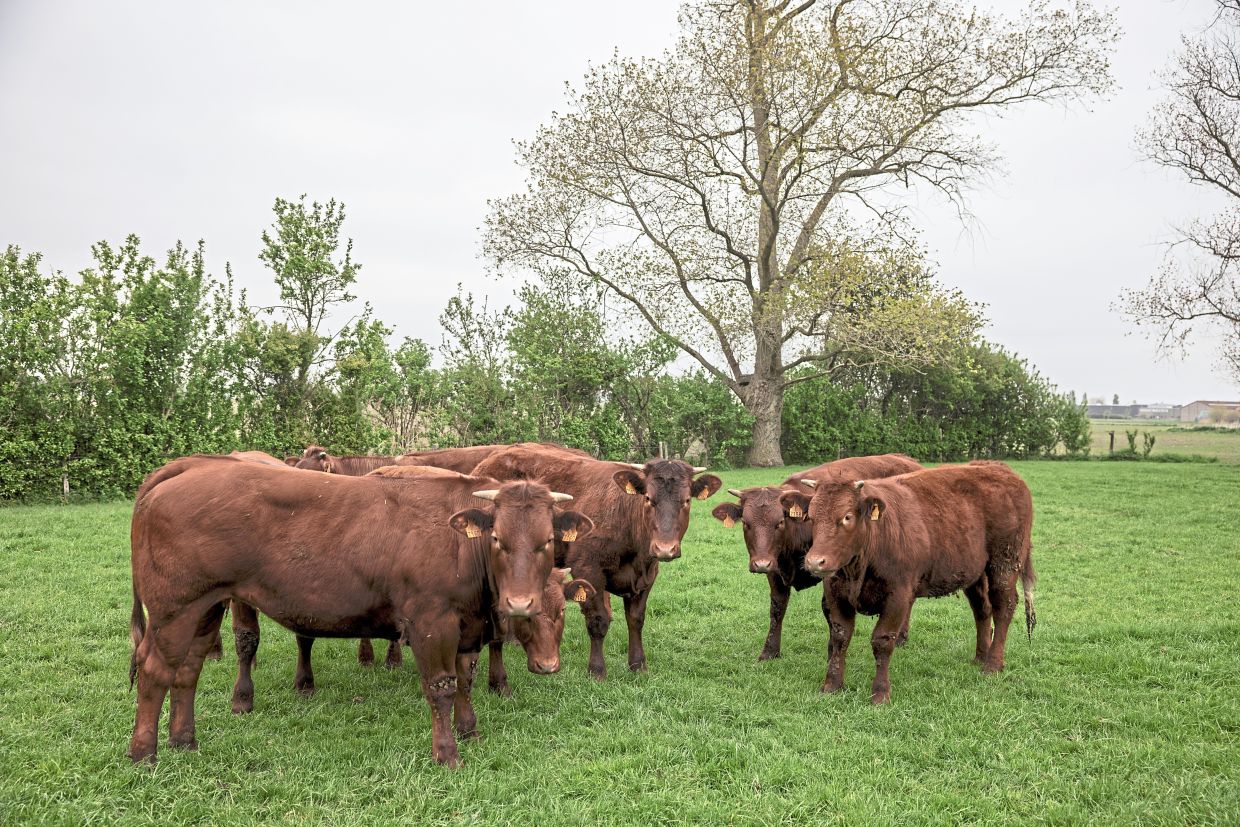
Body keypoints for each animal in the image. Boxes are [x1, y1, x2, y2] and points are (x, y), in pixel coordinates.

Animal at [127, 454, 593, 766]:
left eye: (546, 541)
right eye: (497, 538)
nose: (519, 603)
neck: (464, 549)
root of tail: (192, 466)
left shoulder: (467, 625)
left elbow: (465, 680)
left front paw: (470, 730)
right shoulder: (431, 622)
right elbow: (441, 687)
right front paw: (447, 753)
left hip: (204, 607)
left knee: (187, 670)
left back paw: (184, 740)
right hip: (173, 609)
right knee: (154, 669)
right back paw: (144, 753)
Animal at [474, 445, 722, 680]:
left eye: (686, 500)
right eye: (648, 498)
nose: (665, 548)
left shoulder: (648, 575)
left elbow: (636, 619)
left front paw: (638, 665)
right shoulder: (588, 569)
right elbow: (598, 621)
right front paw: (596, 670)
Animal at [710, 455, 922, 660]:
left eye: (779, 522)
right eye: (746, 523)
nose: (761, 564)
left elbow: (828, 610)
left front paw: (831, 651)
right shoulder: (774, 569)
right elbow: (777, 608)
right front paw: (770, 651)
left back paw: (901, 637)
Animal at [778, 461, 1035, 704]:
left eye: (847, 517)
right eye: (811, 518)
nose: (815, 561)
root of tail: (1000, 469)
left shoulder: (898, 596)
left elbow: (882, 641)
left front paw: (880, 693)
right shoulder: (836, 593)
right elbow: (840, 636)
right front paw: (832, 685)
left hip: (1005, 562)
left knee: (1004, 607)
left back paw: (993, 664)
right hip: (974, 571)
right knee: (982, 609)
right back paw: (980, 656)